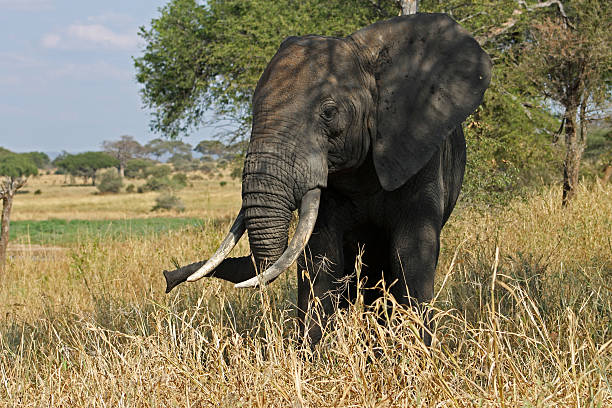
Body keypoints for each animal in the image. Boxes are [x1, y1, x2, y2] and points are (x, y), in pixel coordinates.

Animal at [163, 12, 492, 346]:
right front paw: (314, 354)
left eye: (329, 113)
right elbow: (322, 257)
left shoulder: (418, 149)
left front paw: (415, 353)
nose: (168, 278)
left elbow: (411, 253)